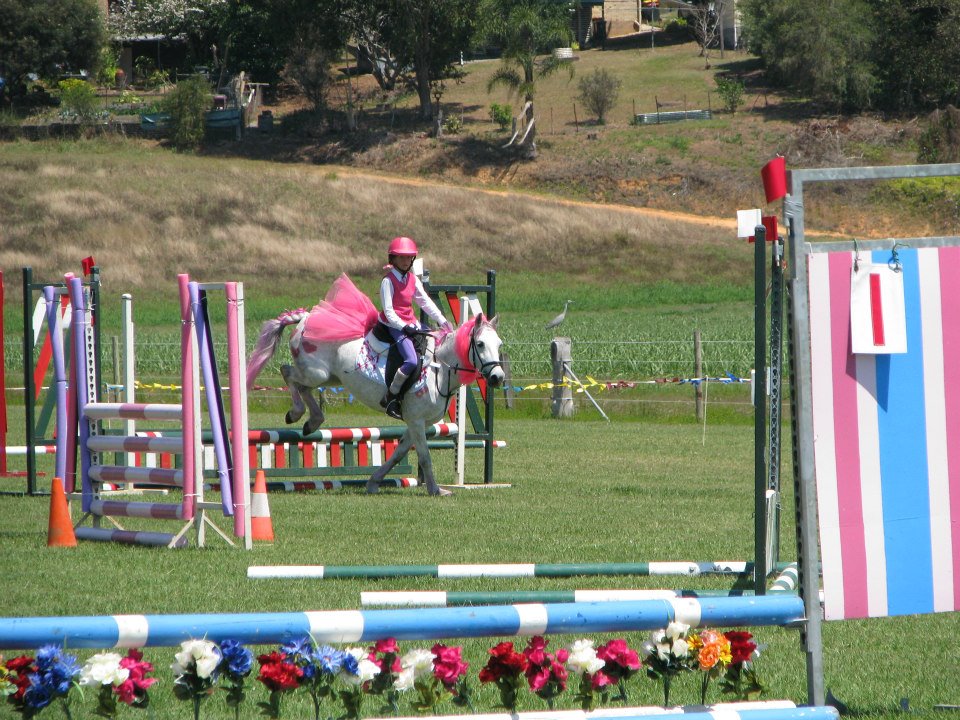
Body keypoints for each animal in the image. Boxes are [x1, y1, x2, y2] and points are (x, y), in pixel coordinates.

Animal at [244, 276, 506, 496]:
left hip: (329, 377)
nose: (497, 377)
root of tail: (305, 319)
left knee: (301, 385)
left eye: (499, 344)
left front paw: (373, 482)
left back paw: (312, 421)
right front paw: (435, 490)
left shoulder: (417, 423)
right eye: (480, 344)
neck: (439, 369)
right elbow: (424, 456)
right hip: (316, 373)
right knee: (288, 373)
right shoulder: (417, 421)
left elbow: (399, 453)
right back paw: (297, 413)